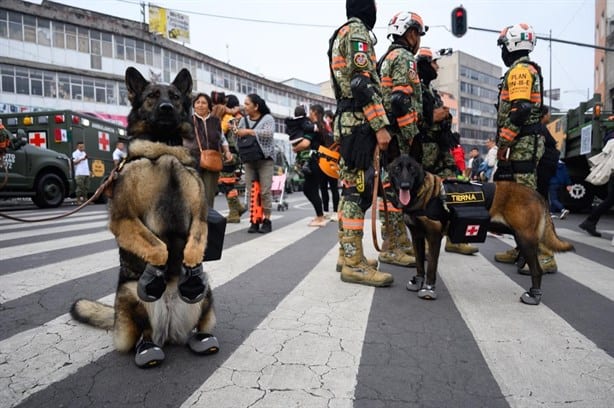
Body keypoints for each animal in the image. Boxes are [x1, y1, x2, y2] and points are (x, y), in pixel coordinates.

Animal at [70, 67, 219, 366]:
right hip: (129, 296)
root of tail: (169, 331)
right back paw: (148, 348)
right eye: (151, 96)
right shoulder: (123, 219)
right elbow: (158, 246)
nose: (166, 108)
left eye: (175, 96)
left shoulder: (199, 216)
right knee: (144, 333)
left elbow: (196, 241)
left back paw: (201, 335)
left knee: (199, 318)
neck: (165, 148)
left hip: (207, 294)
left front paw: (191, 265)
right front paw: (156, 271)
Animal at [390, 154, 576, 306]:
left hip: (526, 240)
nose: (405, 186)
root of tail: (538, 195)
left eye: (412, 169)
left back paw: (534, 295)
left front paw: (428, 289)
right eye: (397, 168)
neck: (423, 192)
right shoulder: (417, 237)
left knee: (537, 270)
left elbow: (430, 268)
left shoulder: (434, 237)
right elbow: (420, 264)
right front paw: (417, 282)